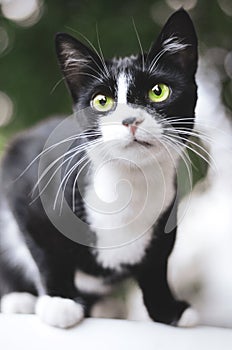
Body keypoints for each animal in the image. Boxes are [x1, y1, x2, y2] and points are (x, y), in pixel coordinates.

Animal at [0, 10, 198, 328]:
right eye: (101, 101)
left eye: (158, 92)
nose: (130, 120)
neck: (128, 183)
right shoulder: (24, 190)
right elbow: (48, 254)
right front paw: (60, 301)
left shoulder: (167, 215)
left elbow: (156, 264)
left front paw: (168, 310)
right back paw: (19, 299)